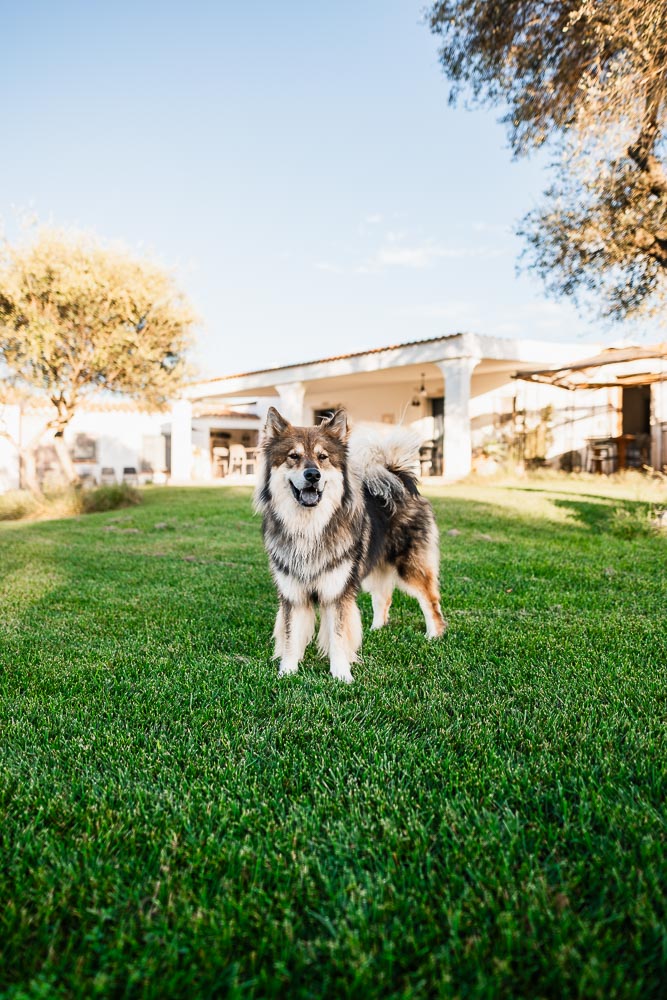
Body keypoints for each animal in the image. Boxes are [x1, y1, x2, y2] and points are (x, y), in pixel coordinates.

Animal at [256, 406, 448, 680]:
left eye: (323, 457)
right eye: (293, 456)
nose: (312, 474)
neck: (310, 528)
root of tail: (397, 476)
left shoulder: (337, 591)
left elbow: (338, 636)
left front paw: (342, 675)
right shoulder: (293, 593)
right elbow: (291, 637)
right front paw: (287, 672)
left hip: (410, 567)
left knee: (430, 600)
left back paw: (434, 635)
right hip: (374, 567)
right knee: (383, 598)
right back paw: (377, 629)